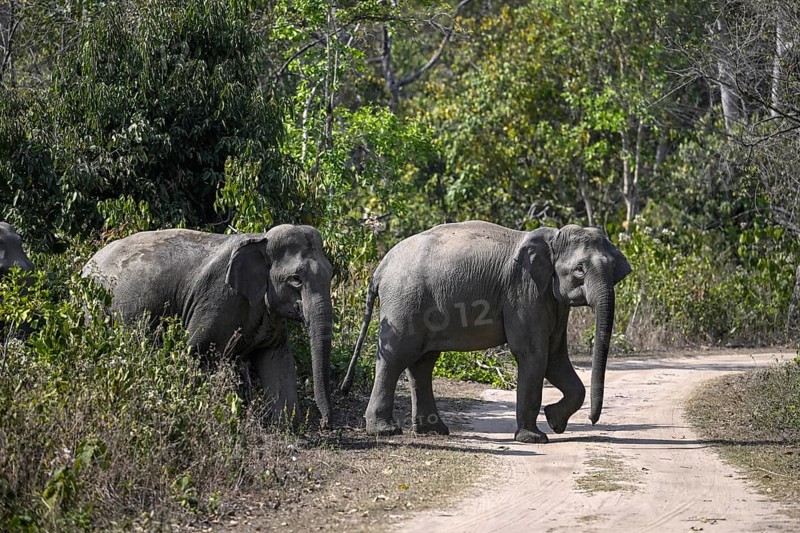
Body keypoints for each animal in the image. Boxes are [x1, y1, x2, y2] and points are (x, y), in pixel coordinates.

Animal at [82, 224, 334, 428]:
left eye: (331, 274)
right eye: (296, 279)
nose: (325, 423)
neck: (259, 239)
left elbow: (277, 360)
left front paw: (287, 426)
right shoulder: (218, 299)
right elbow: (197, 351)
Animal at [340, 220, 631, 443]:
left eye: (614, 269)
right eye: (579, 270)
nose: (593, 421)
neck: (552, 237)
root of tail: (381, 268)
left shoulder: (552, 300)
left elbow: (555, 357)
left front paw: (554, 421)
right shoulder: (524, 292)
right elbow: (534, 354)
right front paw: (535, 438)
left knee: (422, 363)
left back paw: (434, 431)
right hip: (404, 301)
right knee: (396, 356)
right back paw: (386, 431)